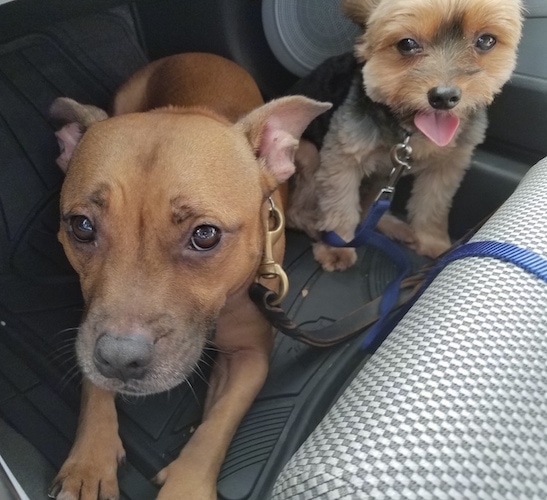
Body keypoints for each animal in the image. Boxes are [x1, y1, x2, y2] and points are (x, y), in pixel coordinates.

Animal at [48, 51, 330, 500]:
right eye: (81, 226)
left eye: (205, 235)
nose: (120, 359)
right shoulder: (92, 321)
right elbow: (93, 385)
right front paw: (89, 461)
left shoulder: (249, 357)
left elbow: (217, 426)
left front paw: (186, 484)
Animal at [288, 0, 524, 270]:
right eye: (406, 44)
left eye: (486, 41)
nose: (444, 97)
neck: (410, 129)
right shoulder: (343, 156)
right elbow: (340, 206)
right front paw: (336, 247)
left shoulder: (448, 164)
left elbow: (433, 205)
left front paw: (433, 242)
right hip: (307, 153)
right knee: (296, 212)